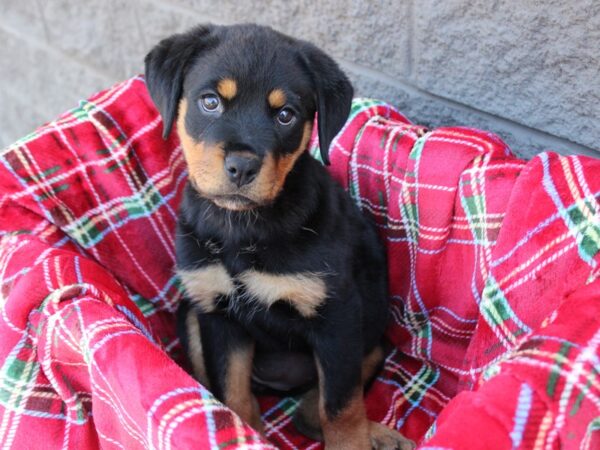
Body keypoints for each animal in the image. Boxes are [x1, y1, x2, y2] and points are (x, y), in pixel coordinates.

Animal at [145, 24, 414, 450]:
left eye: (286, 115)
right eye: (210, 102)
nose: (241, 166)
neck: (244, 226)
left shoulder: (337, 317)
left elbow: (340, 405)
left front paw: (352, 441)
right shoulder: (218, 312)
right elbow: (232, 392)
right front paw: (244, 433)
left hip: (372, 335)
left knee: (319, 405)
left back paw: (379, 434)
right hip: (190, 312)